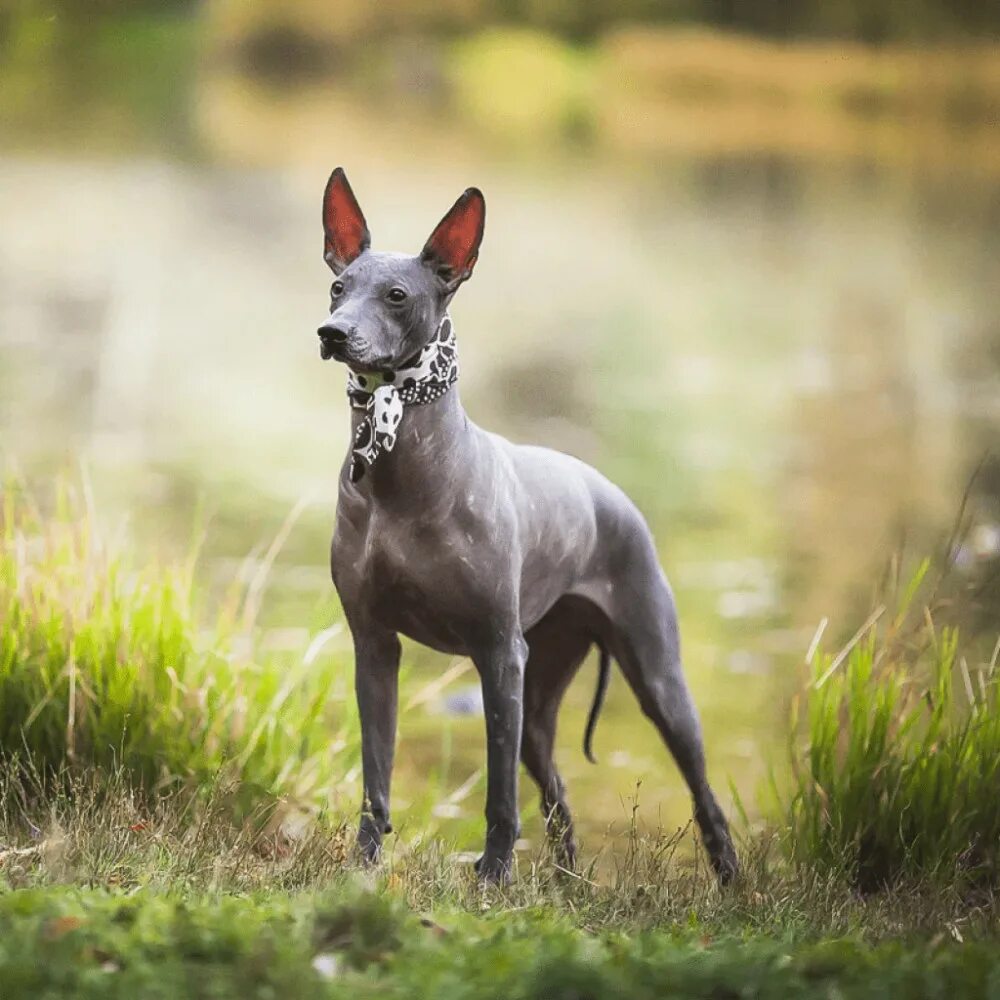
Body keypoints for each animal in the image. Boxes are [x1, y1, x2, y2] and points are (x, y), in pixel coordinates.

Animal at [316, 168, 740, 888]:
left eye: (397, 295)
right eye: (338, 288)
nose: (332, 332)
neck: (403, 473)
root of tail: (611, 491)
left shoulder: (496, 655)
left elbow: (498, 796)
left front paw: (491, 877)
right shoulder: (374, 648)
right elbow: (377, 776)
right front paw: (364, 866)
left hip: (655, 681)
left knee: (702, 792)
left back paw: (732, 878)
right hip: (539, 700)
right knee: (559, 792)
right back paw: (567, 881)